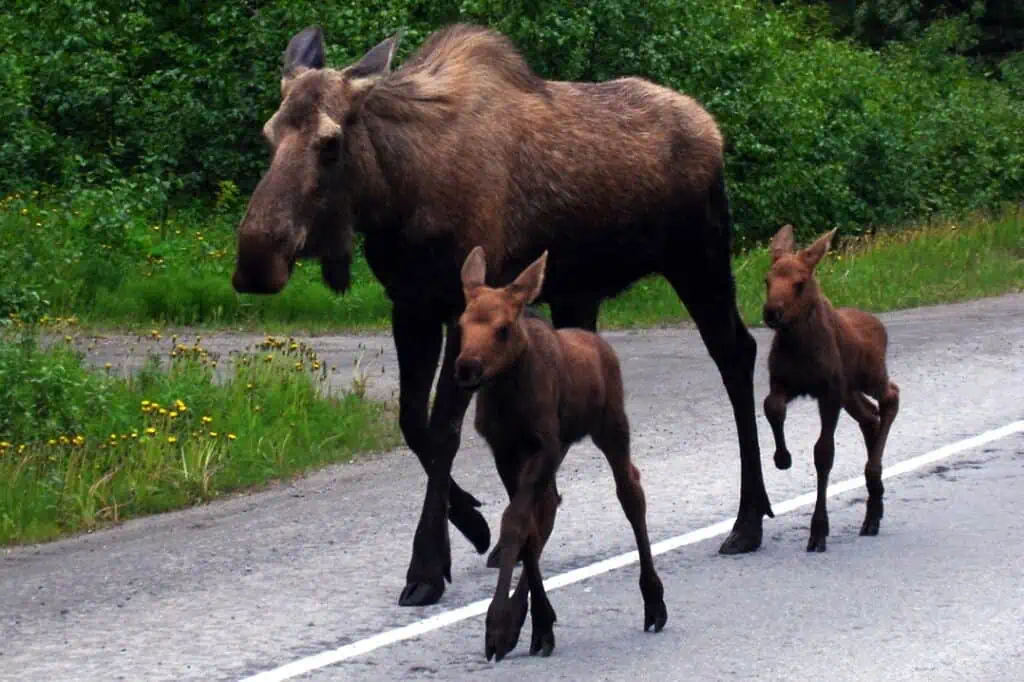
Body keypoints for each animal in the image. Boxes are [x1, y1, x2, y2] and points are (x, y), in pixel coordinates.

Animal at [234, 22, 774, 606]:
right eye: (269, 134)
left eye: (330, 143)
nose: (255, 261)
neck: (394, 198)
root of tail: (713, 130)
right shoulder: (411, 305)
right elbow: (412, 423)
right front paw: (474, 523)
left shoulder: (457, 308)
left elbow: (443, 432)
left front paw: (427, 565)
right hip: (579, 292)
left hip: (699, 257)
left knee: (736, 353)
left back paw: (748, 520)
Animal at [458, 244, 671, 659]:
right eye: (460, 326)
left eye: (503, 328)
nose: (467, 367)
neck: (507, 396)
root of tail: (603, 344)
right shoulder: (505, 451)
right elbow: (525, 528)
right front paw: (533, 624)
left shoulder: (544, 444)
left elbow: (515, 522)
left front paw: (498, 624)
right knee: (549, 506)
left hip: (611, 426)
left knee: (630, 491)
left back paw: (654, 601)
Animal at [761, 225, 897, 548]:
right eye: (767, 280)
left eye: (799, 283)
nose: (772, 312)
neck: (798, 345)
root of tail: (881, 326)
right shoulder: (782, 382)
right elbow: (771, 407)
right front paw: (782, 457)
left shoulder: (829, 392)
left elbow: (824, 454)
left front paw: (818, 531)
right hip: (851, 392)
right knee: (870, 415)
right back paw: (873, 509)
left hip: (870, 376)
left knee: (891, 397)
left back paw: (873, 477)